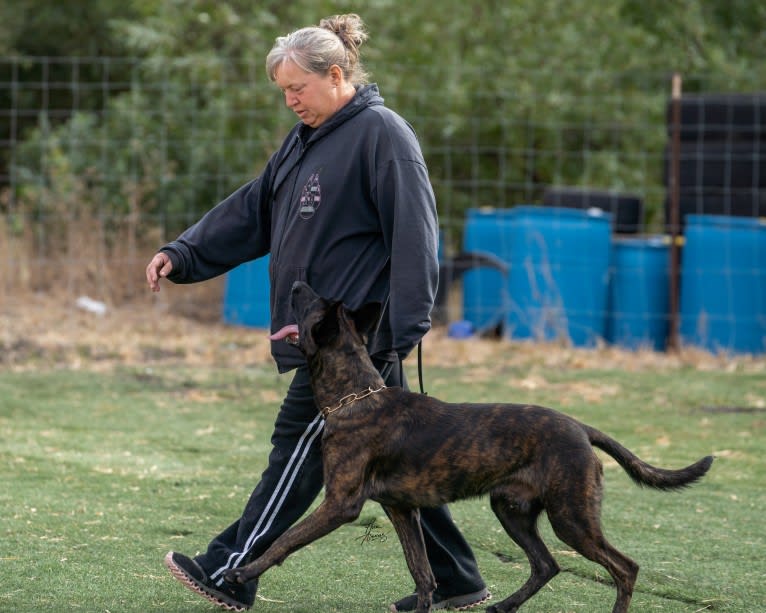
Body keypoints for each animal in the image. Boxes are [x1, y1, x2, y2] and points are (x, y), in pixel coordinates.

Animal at [225, 280, 716, 608]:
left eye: (312, 302)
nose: (295, 282)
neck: (356, 396)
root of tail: (580, 427)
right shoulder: (402, 510)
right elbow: (423, 575)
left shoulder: (340, 505)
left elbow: (283, 540)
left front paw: (242, 571)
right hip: (513, 510)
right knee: (547, 564)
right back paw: (504, 606)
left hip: (571, 518)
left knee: (624, 568)